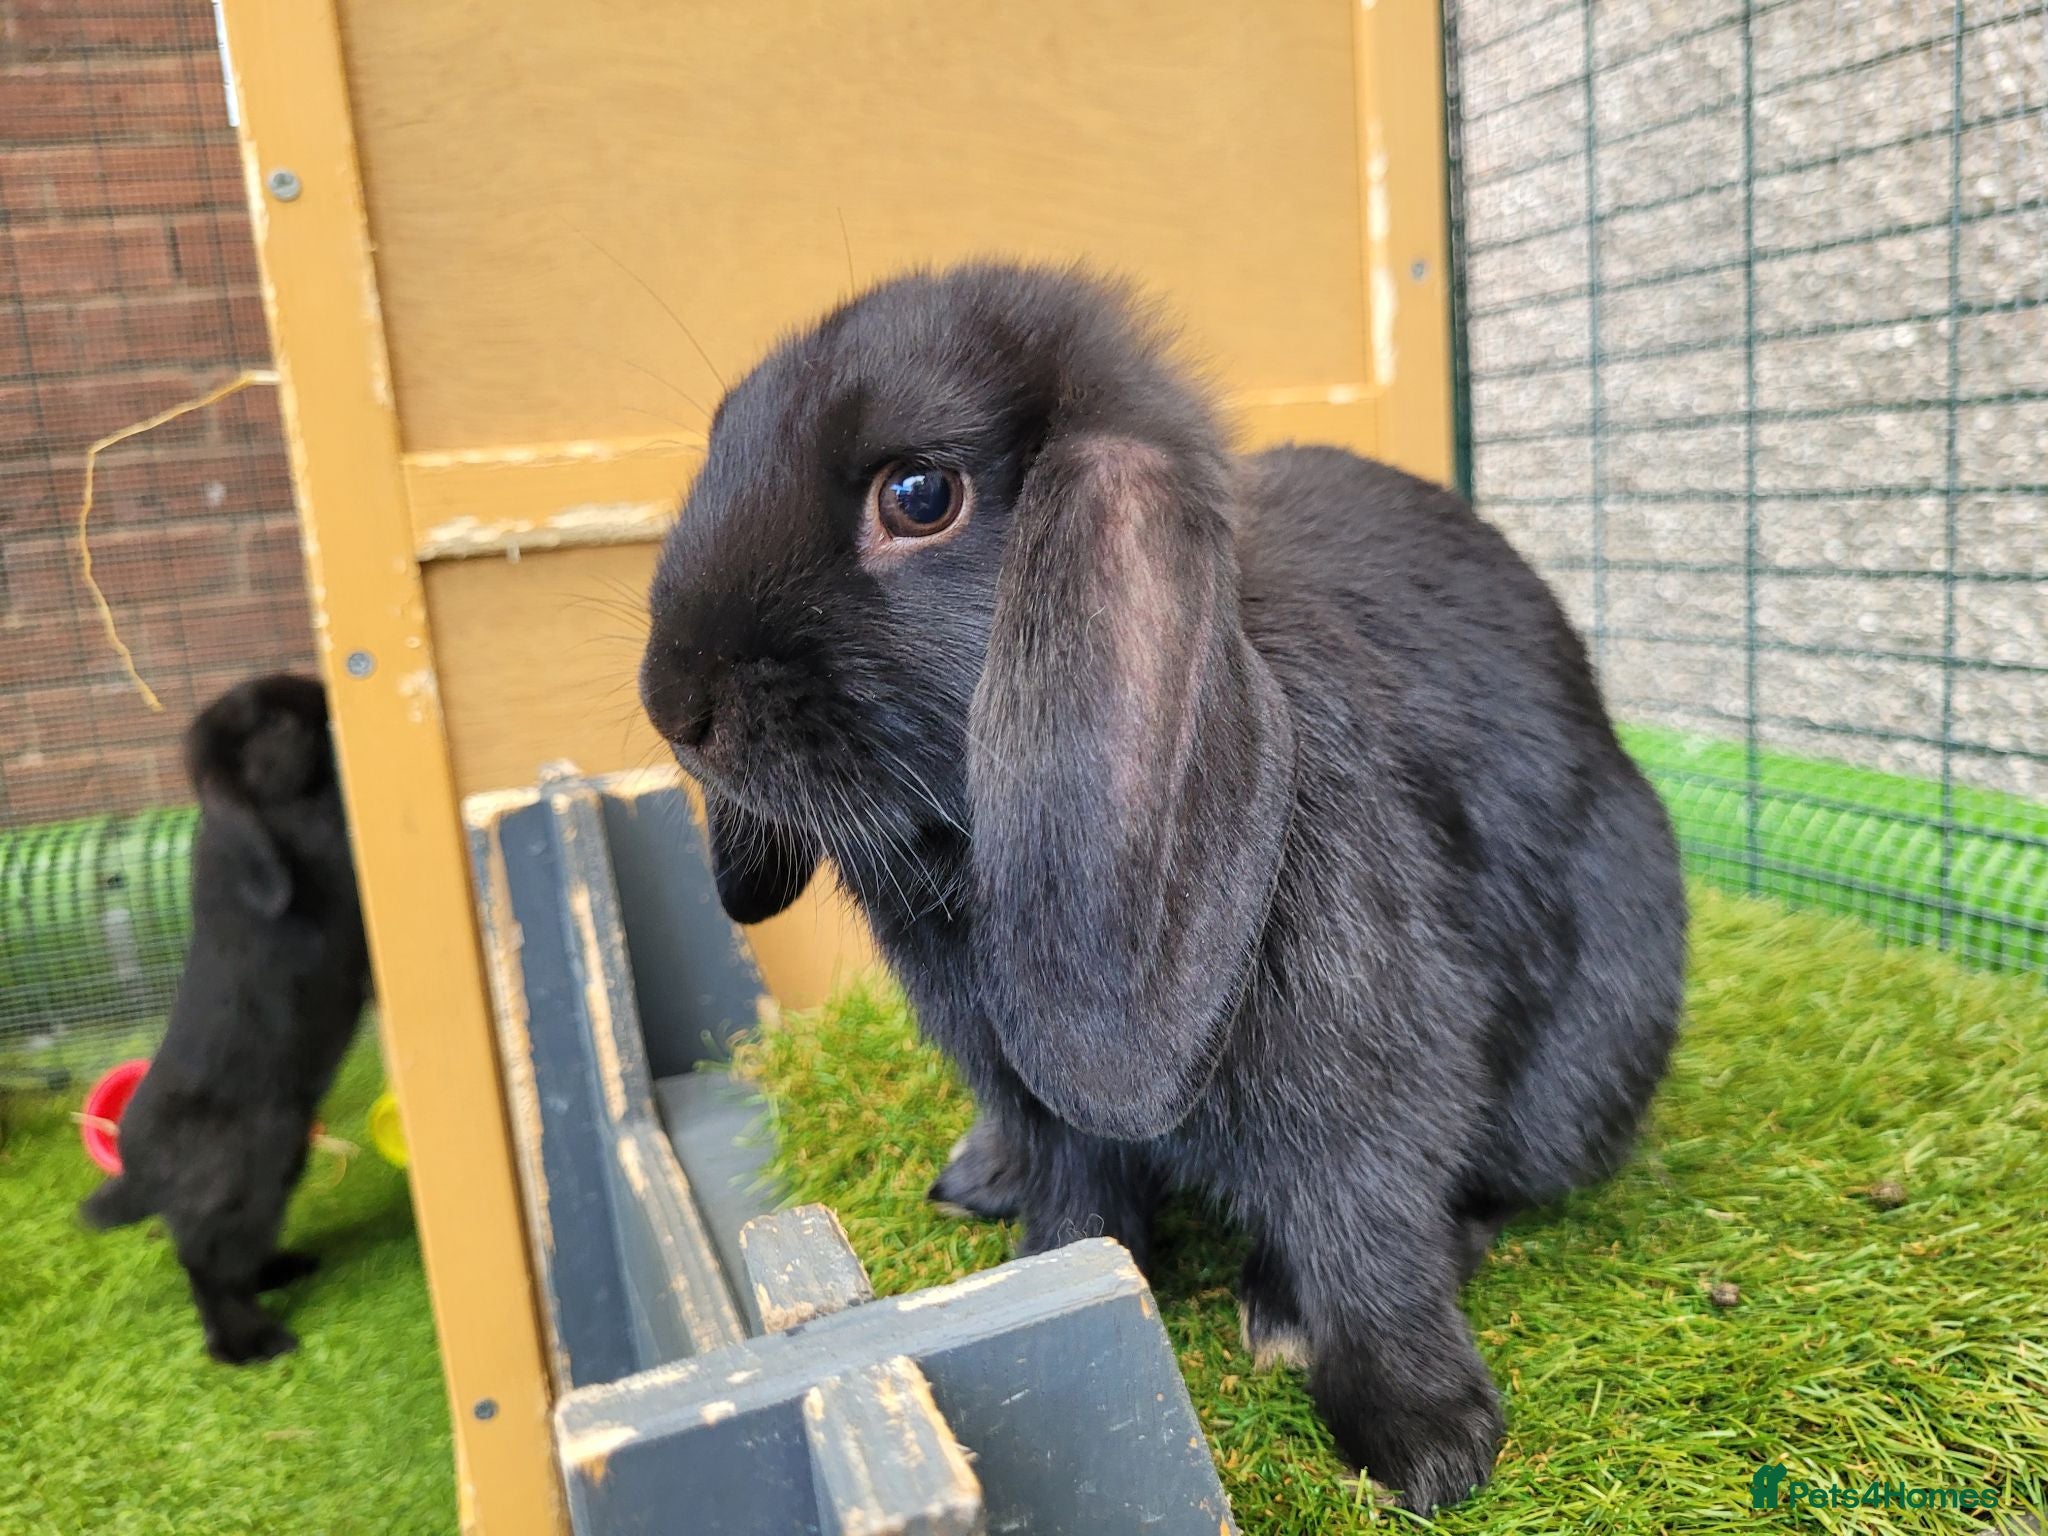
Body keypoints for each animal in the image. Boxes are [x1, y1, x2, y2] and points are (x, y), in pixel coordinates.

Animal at [80, 673, 371, 1365]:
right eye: (274, 721)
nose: (323, 694)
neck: (271, 809)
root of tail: (140, 1172)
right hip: (251, 1171)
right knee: (209, 1269)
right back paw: (253, 1344)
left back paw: (283, 1270)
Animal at [639, 263, 1686, 1511]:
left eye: (918, 493)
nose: (674, 705)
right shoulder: (1032, 1098)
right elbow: (1078, 1203)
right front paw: (1039, 1289)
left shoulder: (1364, 1062)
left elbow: (1367, 1232)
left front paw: (1422, 1445)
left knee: (1479, 1190)